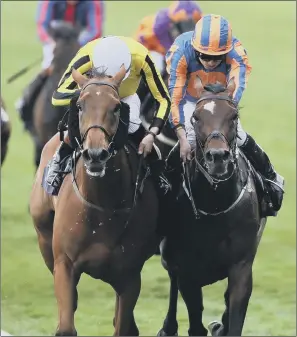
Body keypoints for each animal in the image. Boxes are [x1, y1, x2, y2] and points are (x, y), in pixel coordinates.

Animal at [29, 65, 160, 334]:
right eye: (80, 106)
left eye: (116, 107)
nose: (96, 154)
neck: (103, 205)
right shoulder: (65, 265)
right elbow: (66, 325)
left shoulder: (129, 276)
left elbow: (122, 326)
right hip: (44, 238)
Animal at [156, 78, 264, 334]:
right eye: (196, 117)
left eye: (234, 116)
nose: (217, 157)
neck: (216, 205)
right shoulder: (187, 271)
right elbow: (196, 323)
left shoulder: (241, 265)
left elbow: (233, 317)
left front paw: (221, 326)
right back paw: (168, 326)